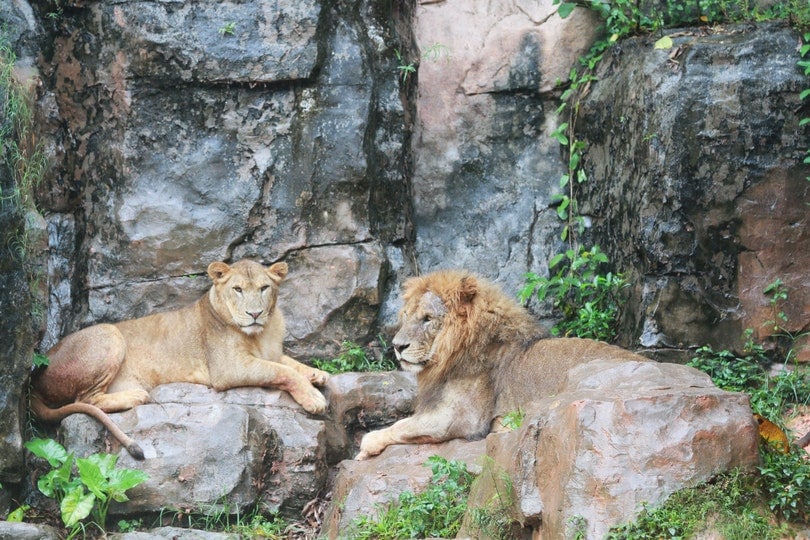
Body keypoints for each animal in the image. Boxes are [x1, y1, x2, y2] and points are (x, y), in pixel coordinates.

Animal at [31, 259, 329, 460]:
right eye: (238, 289)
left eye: (265, 288)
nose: (254, 313)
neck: (262, 332)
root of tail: (34, 378)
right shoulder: (228, 369)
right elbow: (282, 371)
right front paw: (314, 398)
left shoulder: (271, 352)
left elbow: (289, 362)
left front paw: (317, 374)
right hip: (109, 334)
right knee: (86, 399)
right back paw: (135, 395)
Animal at [355, 269, 648, 460]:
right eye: (406, 316)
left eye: (427, 318)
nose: (397, 346)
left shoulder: (461, 417)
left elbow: (402, 425)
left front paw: (367, 445)